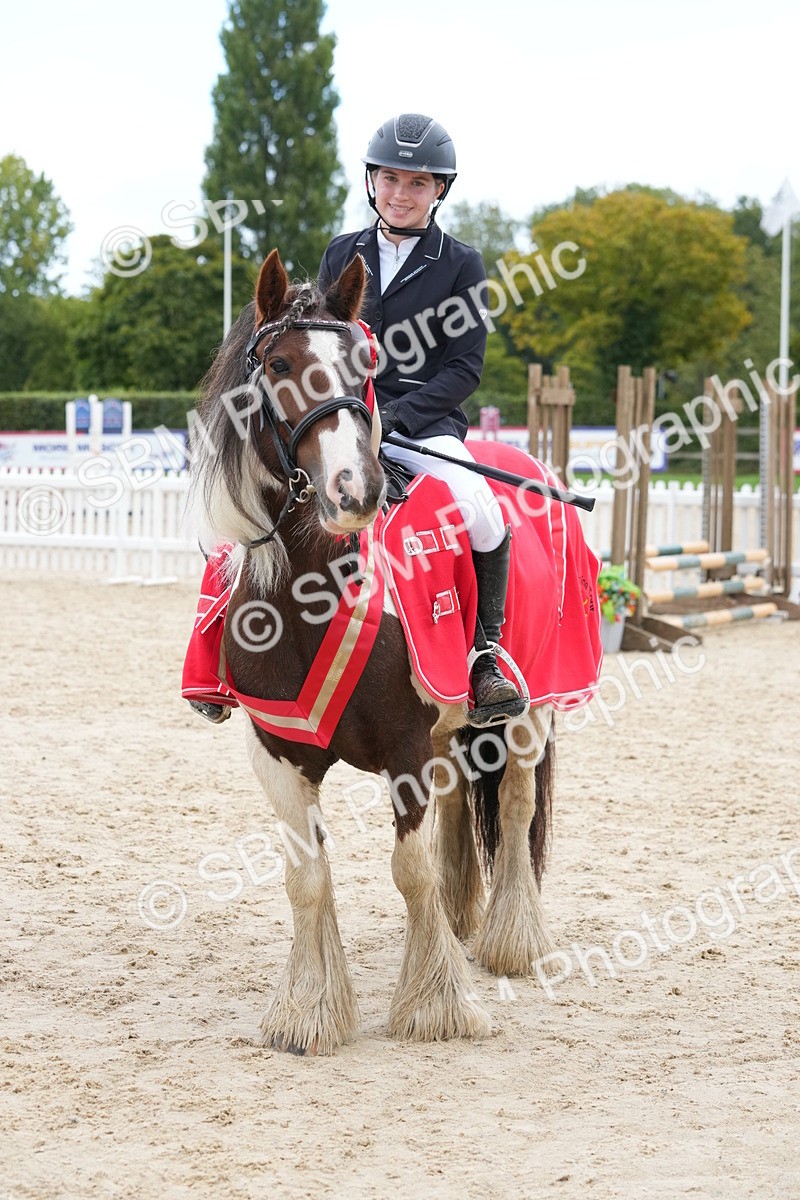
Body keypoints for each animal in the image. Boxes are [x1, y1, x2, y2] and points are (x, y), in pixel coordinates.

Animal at [188, 248, 593, 1056]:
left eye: (364, 361)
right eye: (278, 363)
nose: (356, 489)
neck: (311, 599)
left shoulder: (405, 744)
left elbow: (409, 871)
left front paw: (436, 1006)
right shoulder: (275, 753)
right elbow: (307, 878)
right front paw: (309, 1012)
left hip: (534, 709)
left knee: (515, 802)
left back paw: (510, 940)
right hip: (452, 730)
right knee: (461, 804)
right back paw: (463, 919)